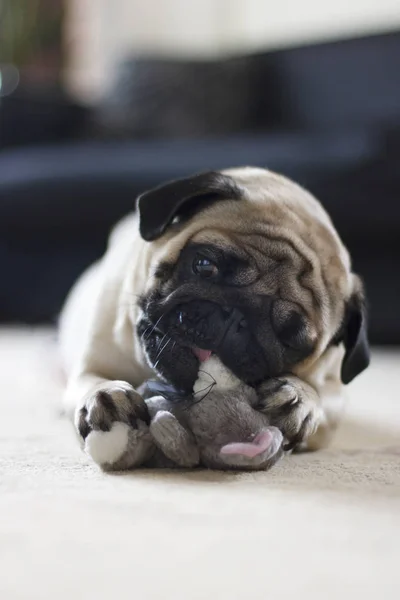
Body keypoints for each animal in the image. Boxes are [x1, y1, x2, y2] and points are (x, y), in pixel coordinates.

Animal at [59, 165, 368, 468]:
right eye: (204, 265)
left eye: (290, 340)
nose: (234, 319)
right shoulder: (93, 362)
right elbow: (90, 380)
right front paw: (106, 395)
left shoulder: (335, 393)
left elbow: (322, 400)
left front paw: (300, 397)